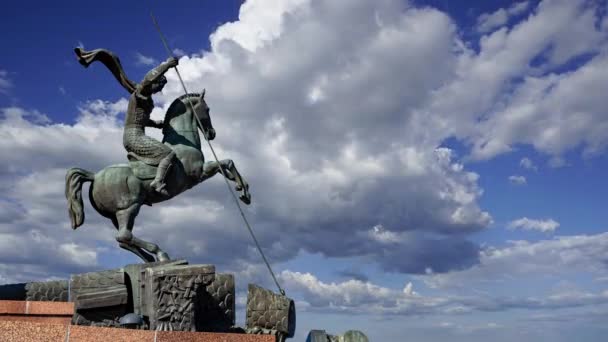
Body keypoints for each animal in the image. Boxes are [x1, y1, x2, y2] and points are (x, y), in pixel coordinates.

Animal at [64, 92, 249, 264]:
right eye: (207, 109)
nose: (212, 133)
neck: (183, 144)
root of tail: (94, 176)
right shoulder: (199, 173)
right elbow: (227, 162)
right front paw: (245, 193)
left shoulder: (203, 171)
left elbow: (224, 167)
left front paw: (242, 188)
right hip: (129, 207)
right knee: (124, 236)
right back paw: (160, 254)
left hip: (115, 215)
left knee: (124, 240)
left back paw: (151, 259)